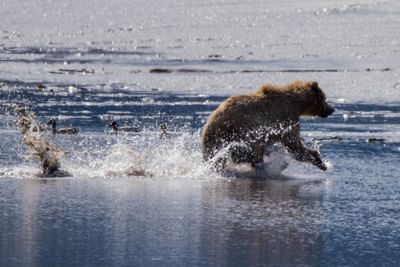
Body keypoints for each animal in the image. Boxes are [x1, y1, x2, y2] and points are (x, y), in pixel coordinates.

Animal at [202, 80, 336, 172]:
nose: (331, 109)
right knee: (249, 150)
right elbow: (294, 145)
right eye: (324, 98)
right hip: (232, 133)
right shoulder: (285, 120)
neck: (295, 105)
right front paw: (319, 161)